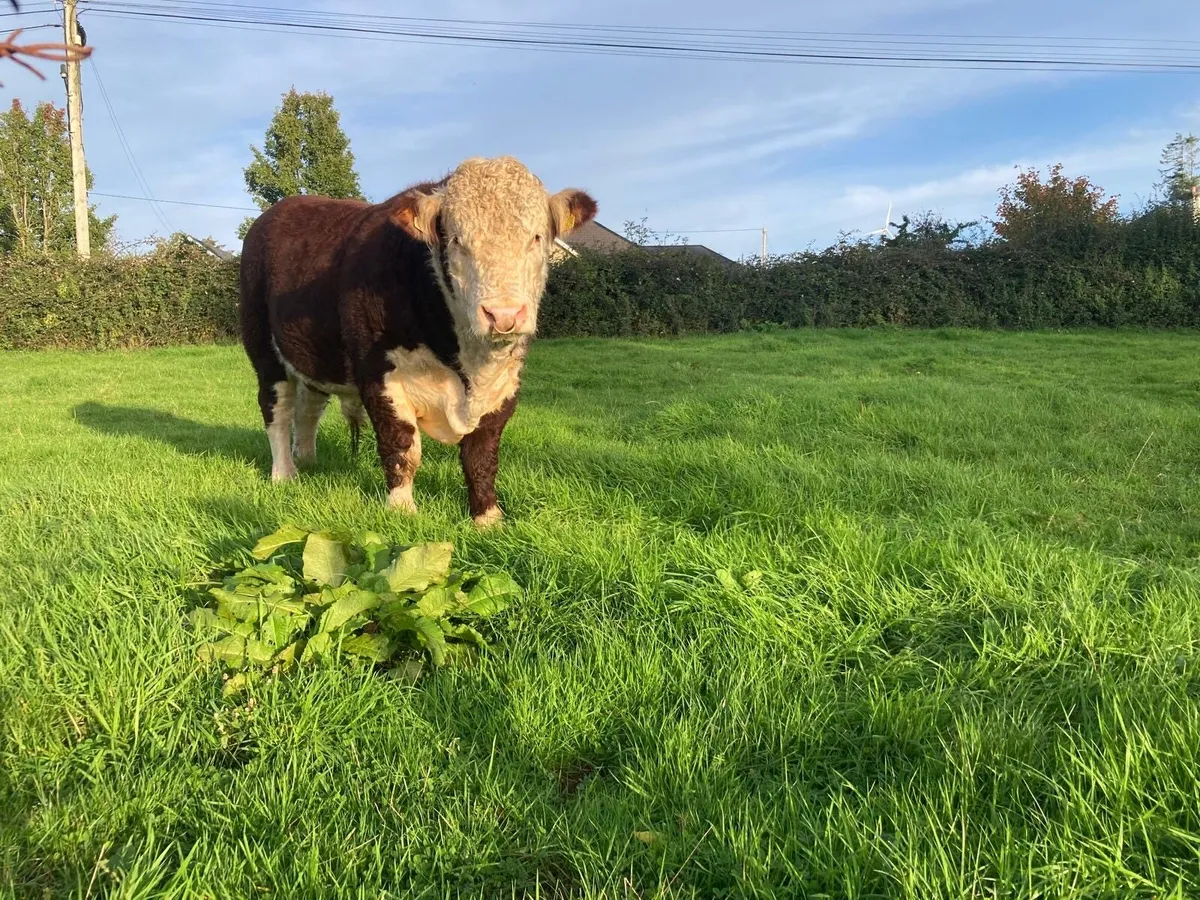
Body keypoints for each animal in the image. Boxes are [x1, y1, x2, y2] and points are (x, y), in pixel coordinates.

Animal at [237, 155, 597, 527]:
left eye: (536, 237)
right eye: (456, 240)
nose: (503, 314)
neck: (469, 364)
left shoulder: (505, 384)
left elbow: (481, 455)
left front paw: (487, 518)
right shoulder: (378, 375)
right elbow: (401, 445)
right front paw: (401, 510)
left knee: (308, 409)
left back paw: (308, 461)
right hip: (263, 350)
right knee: (277, 410)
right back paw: (284, 474)